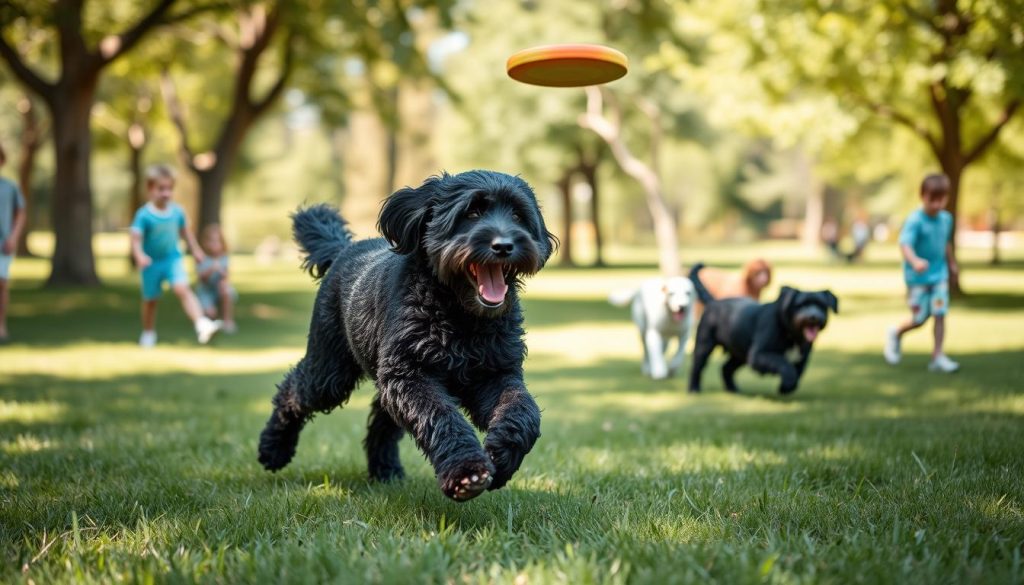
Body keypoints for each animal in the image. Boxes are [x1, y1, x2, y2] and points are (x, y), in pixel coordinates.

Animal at [260, 170, 557, 504]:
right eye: (471, 212)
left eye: (518, 215)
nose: (504, 245)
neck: (462, 321)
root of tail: (341, 249)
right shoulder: (411, 375)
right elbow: (441, 417)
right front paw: (465, 471)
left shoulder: (495, 373)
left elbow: (523, 410)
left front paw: (503, 456)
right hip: (331, 371)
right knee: (292, 392)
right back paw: (273, 449)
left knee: (381, 423)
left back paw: (385, 471)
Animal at [688, 264, 839, 393]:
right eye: (800, 305)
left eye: (822, 305)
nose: (813, 316)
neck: (791, 334)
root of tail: (714, 302)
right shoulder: (759, 354)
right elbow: (783, 363)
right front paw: (786, 385)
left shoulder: (802, 359)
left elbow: (797, 372)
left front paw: (786, 387)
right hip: (704, 345)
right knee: (697, 367)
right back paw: (694, 388)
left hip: (741, 354)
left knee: (726, 368)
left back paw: (732, 389)